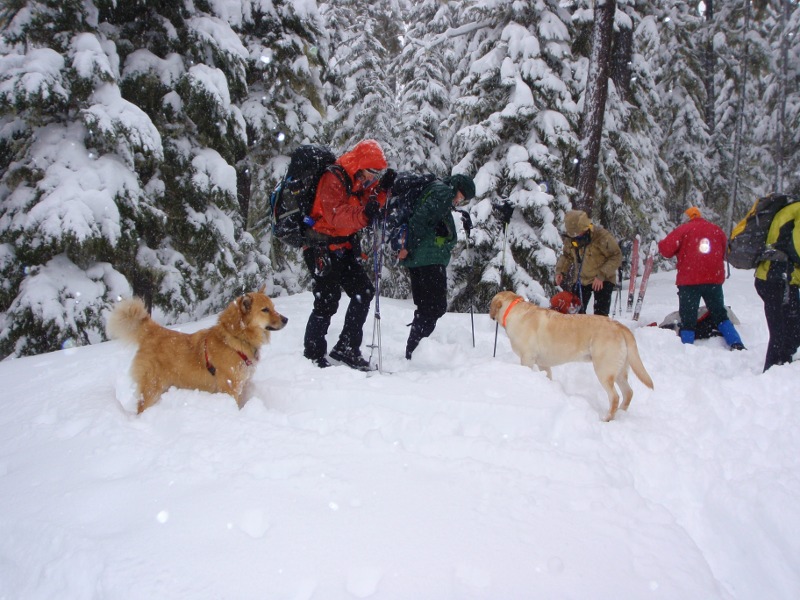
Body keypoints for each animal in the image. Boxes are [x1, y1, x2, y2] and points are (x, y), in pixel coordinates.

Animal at [106, 288, 288, 412]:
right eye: (265, 310)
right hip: (152, 388)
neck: (234, 338)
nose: (286, 319)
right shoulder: (230, 387)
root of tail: (154, 331)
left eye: (273, 307)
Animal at [490, 290, 652, 422]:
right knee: (629, 392)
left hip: (604, 370)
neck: (513, 310)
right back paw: (621, 413)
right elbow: (547, 376)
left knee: (615, 397)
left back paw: (607, 418)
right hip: (620, 371)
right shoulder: (543, 364)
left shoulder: (527, 358)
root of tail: (620, 326)